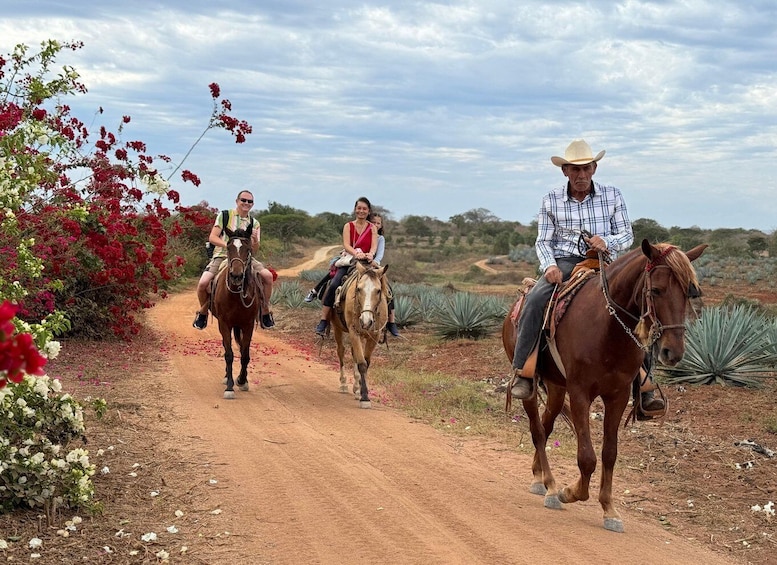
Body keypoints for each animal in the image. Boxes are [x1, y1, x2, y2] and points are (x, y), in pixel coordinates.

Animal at [209, 227, 264, 398]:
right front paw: (229, 387)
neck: (235, 295)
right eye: (228, 248)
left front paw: (242, 380)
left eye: (248, 249)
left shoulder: (248, 325)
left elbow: (245, 354)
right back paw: (227, 377)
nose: (236, 276)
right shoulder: (224, 323)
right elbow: (229, 354)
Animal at [328, 260, 388, 410]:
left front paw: (360, 391)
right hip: (337, 327)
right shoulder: (353, 332)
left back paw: (356, 387)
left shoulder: (374, 336)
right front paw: (365, 398)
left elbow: (365, 362)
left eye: (378, 290)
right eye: (359, 289)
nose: (366, 321)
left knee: (353, 353)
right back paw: (344, 383)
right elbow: (362, 364)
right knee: (341, 351)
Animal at [510, 240, 704, 532]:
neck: (606, 328)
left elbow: (609, 453)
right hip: (533, 389)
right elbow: (587, 457)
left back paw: (539, 478)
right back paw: (552, 487)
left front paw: (609, 510)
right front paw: (570, 492)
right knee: (537, 430)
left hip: (556, 388)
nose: (673, 352)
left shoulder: (618, 395)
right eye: (656, 290)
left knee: (546, 426)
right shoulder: (580, 393)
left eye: (688, 293)